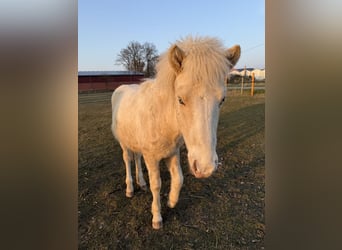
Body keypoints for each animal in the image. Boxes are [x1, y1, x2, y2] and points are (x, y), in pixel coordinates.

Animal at [112, 36, 240, 229]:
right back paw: (130, 189)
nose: (205, 167)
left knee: (136, 159)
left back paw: (141, 183)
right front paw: (157, 217)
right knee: (128, 159)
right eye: (180, 99)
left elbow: (178, 179)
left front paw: (171, 202)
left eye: (222, 100)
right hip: (124, 143)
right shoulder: (152, 158)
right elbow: (156, 185)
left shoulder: (172, 153)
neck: (162, 119)